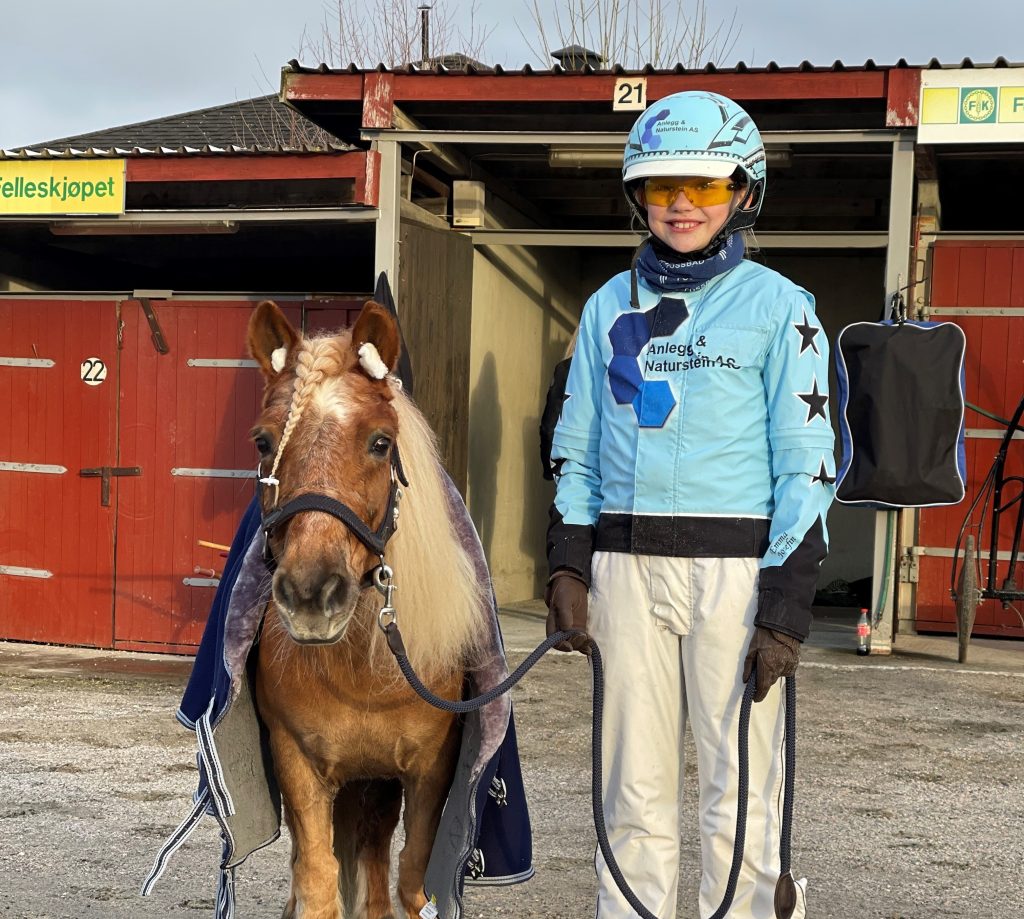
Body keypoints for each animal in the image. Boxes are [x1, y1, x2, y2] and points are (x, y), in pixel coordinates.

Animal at [247, 301, 487, 917]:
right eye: (262, 442)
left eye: (380, 442)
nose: (311, 594)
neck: (363, 675)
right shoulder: (299, 764)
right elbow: (316, 880)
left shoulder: (430, 773)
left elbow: (414, 881)